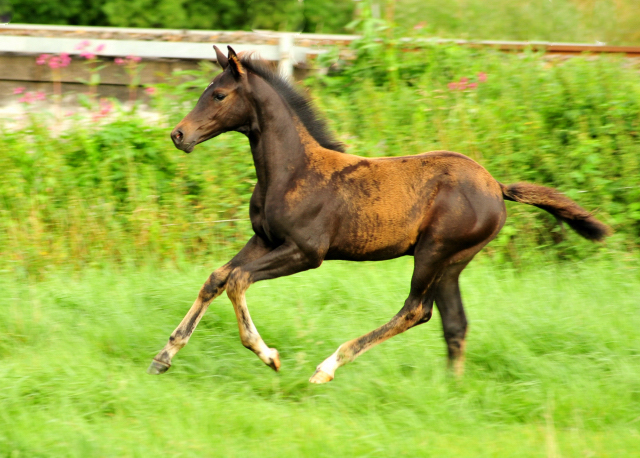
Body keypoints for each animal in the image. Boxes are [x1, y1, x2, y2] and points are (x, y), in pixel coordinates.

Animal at [148, 46, 612, 382]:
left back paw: (327, 368)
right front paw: (163, 356)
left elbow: (238, 280)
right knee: (454, 323)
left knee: (416, 310)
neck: (292, 170)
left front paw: (270, 356)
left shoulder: (306, 252)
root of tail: (496, 187)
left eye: (219, 94)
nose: (179, 135)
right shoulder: (265, 239)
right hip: (453, 262)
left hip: (434, 252)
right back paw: (452, 389)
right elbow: (216, 278)